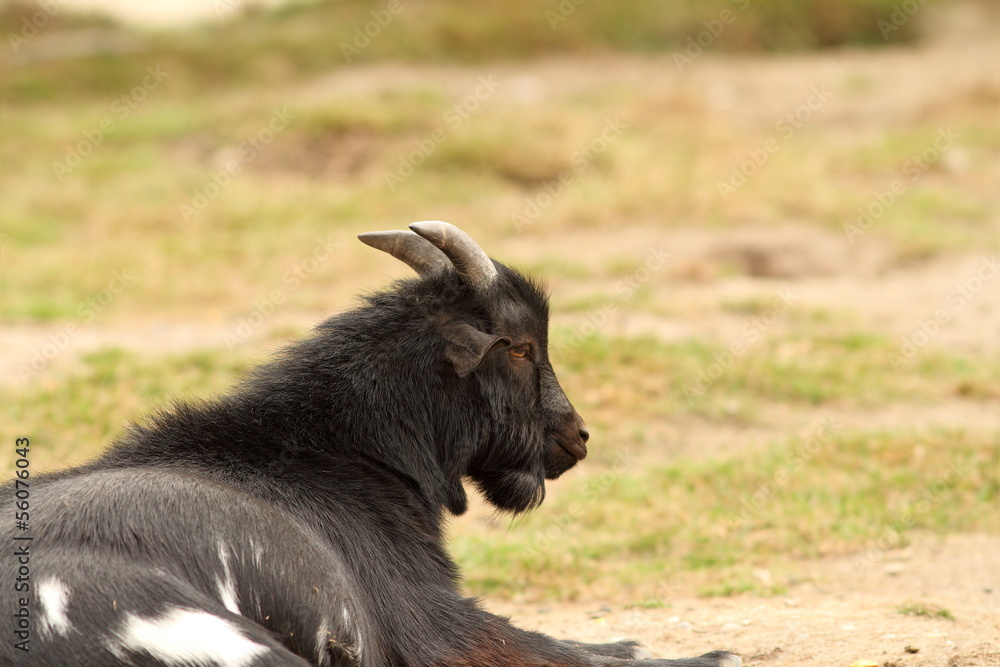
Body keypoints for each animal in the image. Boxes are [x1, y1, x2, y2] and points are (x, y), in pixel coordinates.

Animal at [1, 224, 744, 667]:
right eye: (521, 346)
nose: (576, 437)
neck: (339, 453)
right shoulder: (428, 620)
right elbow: (548, 648)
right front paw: (704, 657)